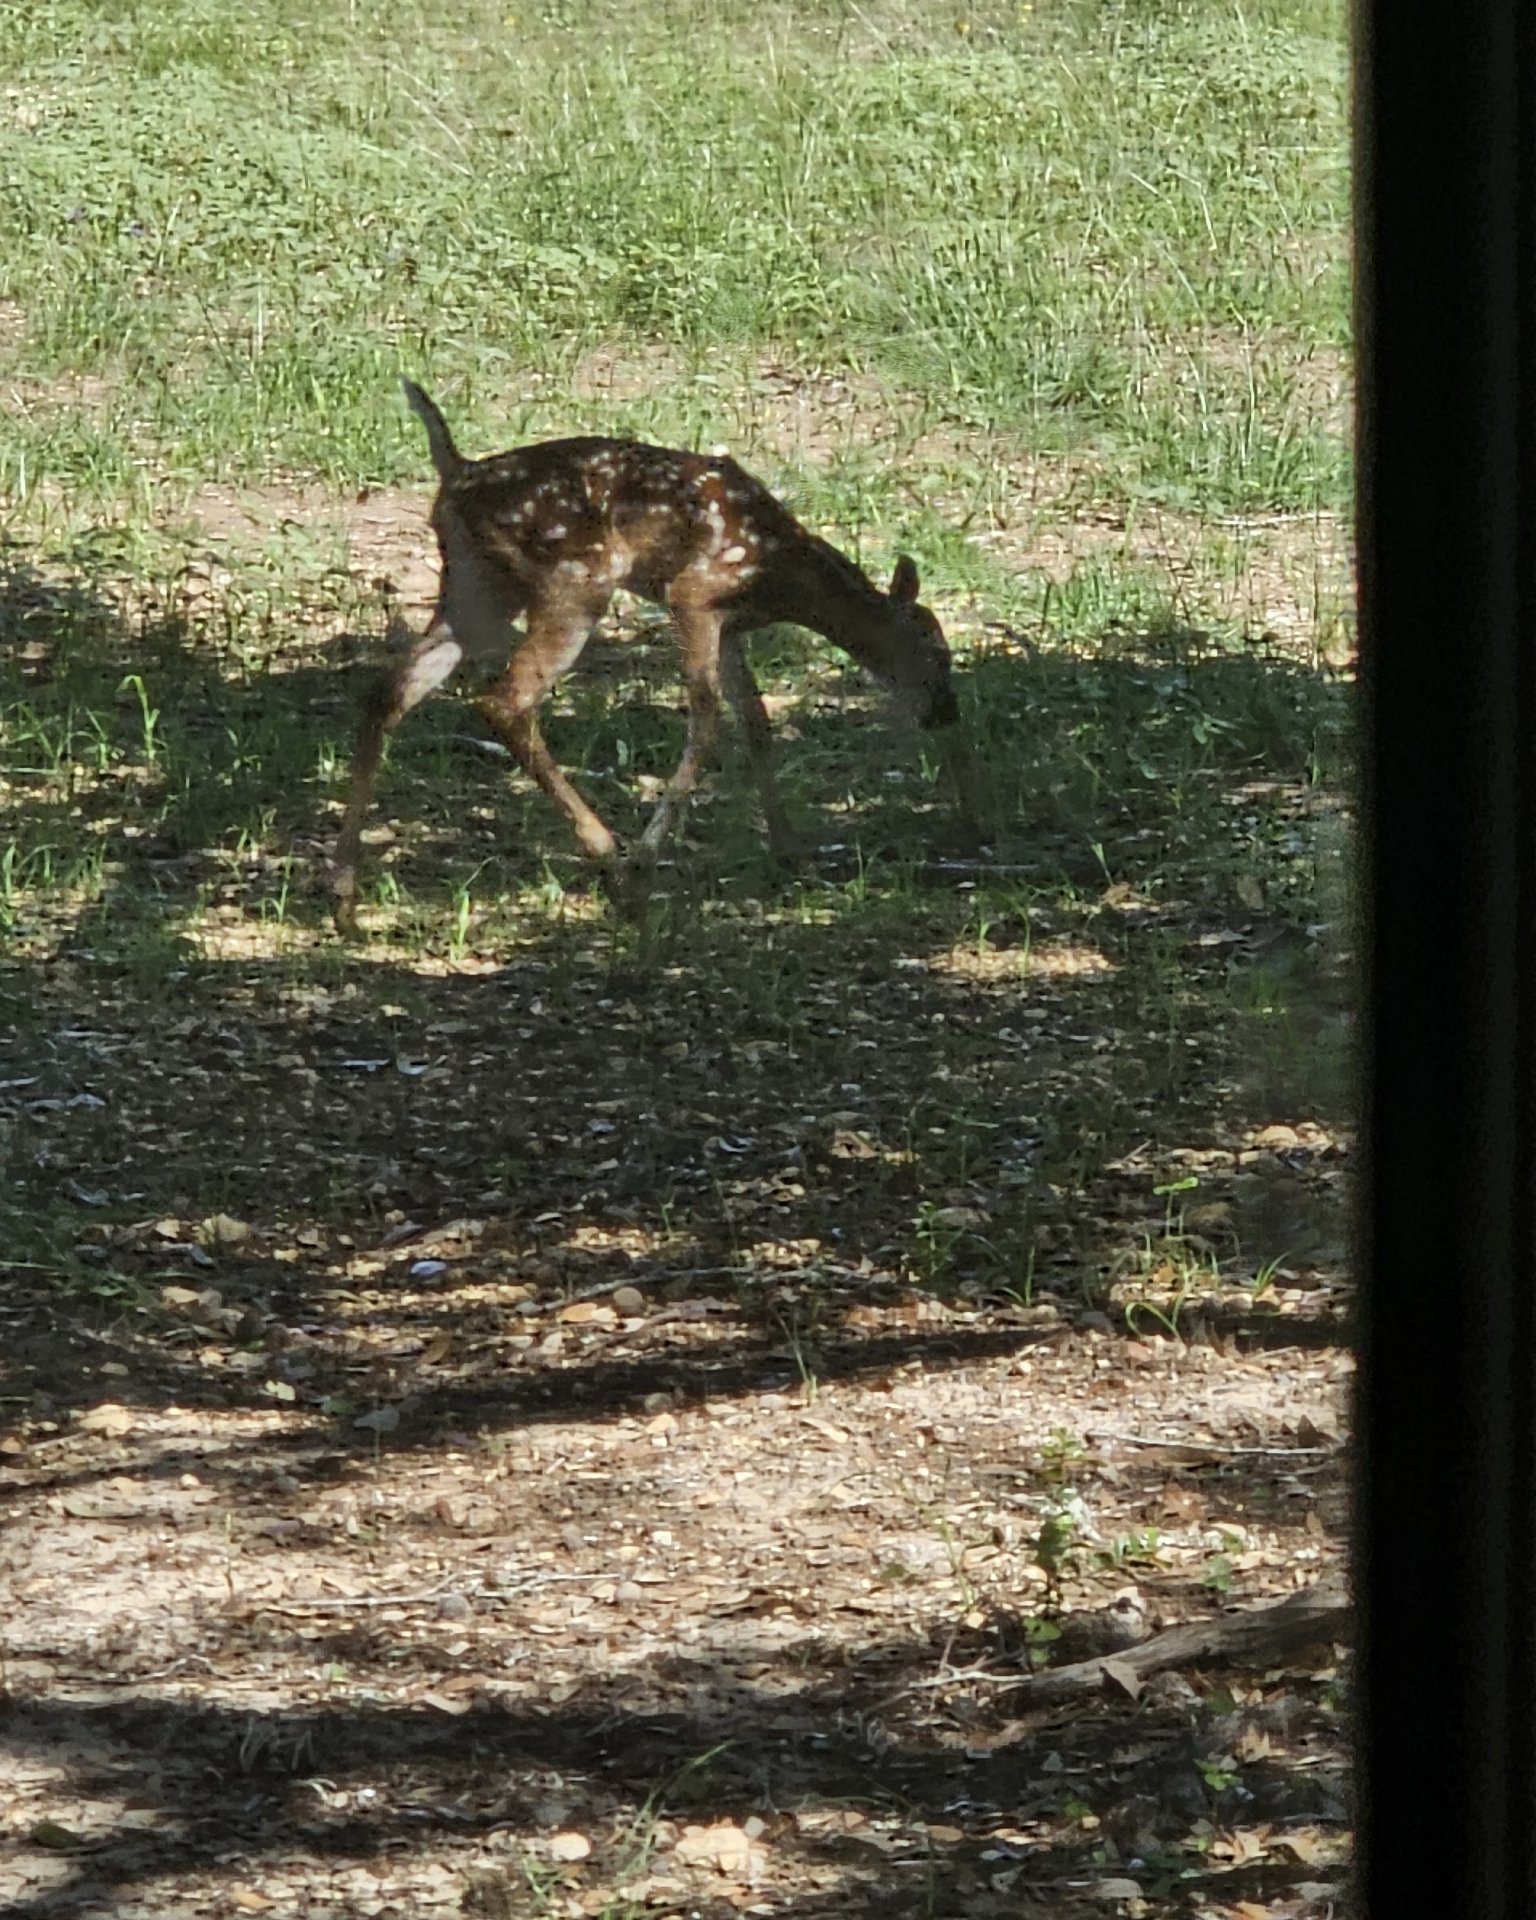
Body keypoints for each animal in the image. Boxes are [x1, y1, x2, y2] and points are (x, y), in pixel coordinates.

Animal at [330, 379, 961, 935]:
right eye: (936, 652)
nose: (946, 714)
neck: (780, 574)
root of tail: (456, 470)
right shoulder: (695, 593)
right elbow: (705, 723)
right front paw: (647, 856)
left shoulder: (730, 624)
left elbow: (756, 722)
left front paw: (791, 851)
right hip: (573, 582)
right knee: (505, 699)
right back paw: (612, 864)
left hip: (477, 586)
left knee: (389, 691)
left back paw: (343, 898)